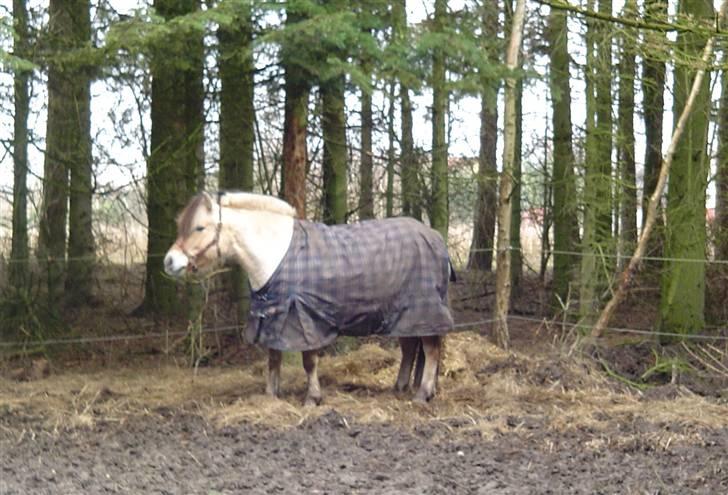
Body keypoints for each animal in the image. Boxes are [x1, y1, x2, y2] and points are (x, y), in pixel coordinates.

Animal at [165, 192, 456, 404]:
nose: (169, 262)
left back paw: (422, 394)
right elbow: (273, 359)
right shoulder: (273, 318)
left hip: (422, 308)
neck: (275, 255)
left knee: (431, 350)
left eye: (199, 227)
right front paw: (270, 396)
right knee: (410, 348)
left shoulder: (303, 318)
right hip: (404, 314)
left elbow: (308, 362)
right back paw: (401, 387)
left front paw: (312, 398)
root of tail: (435, 238)